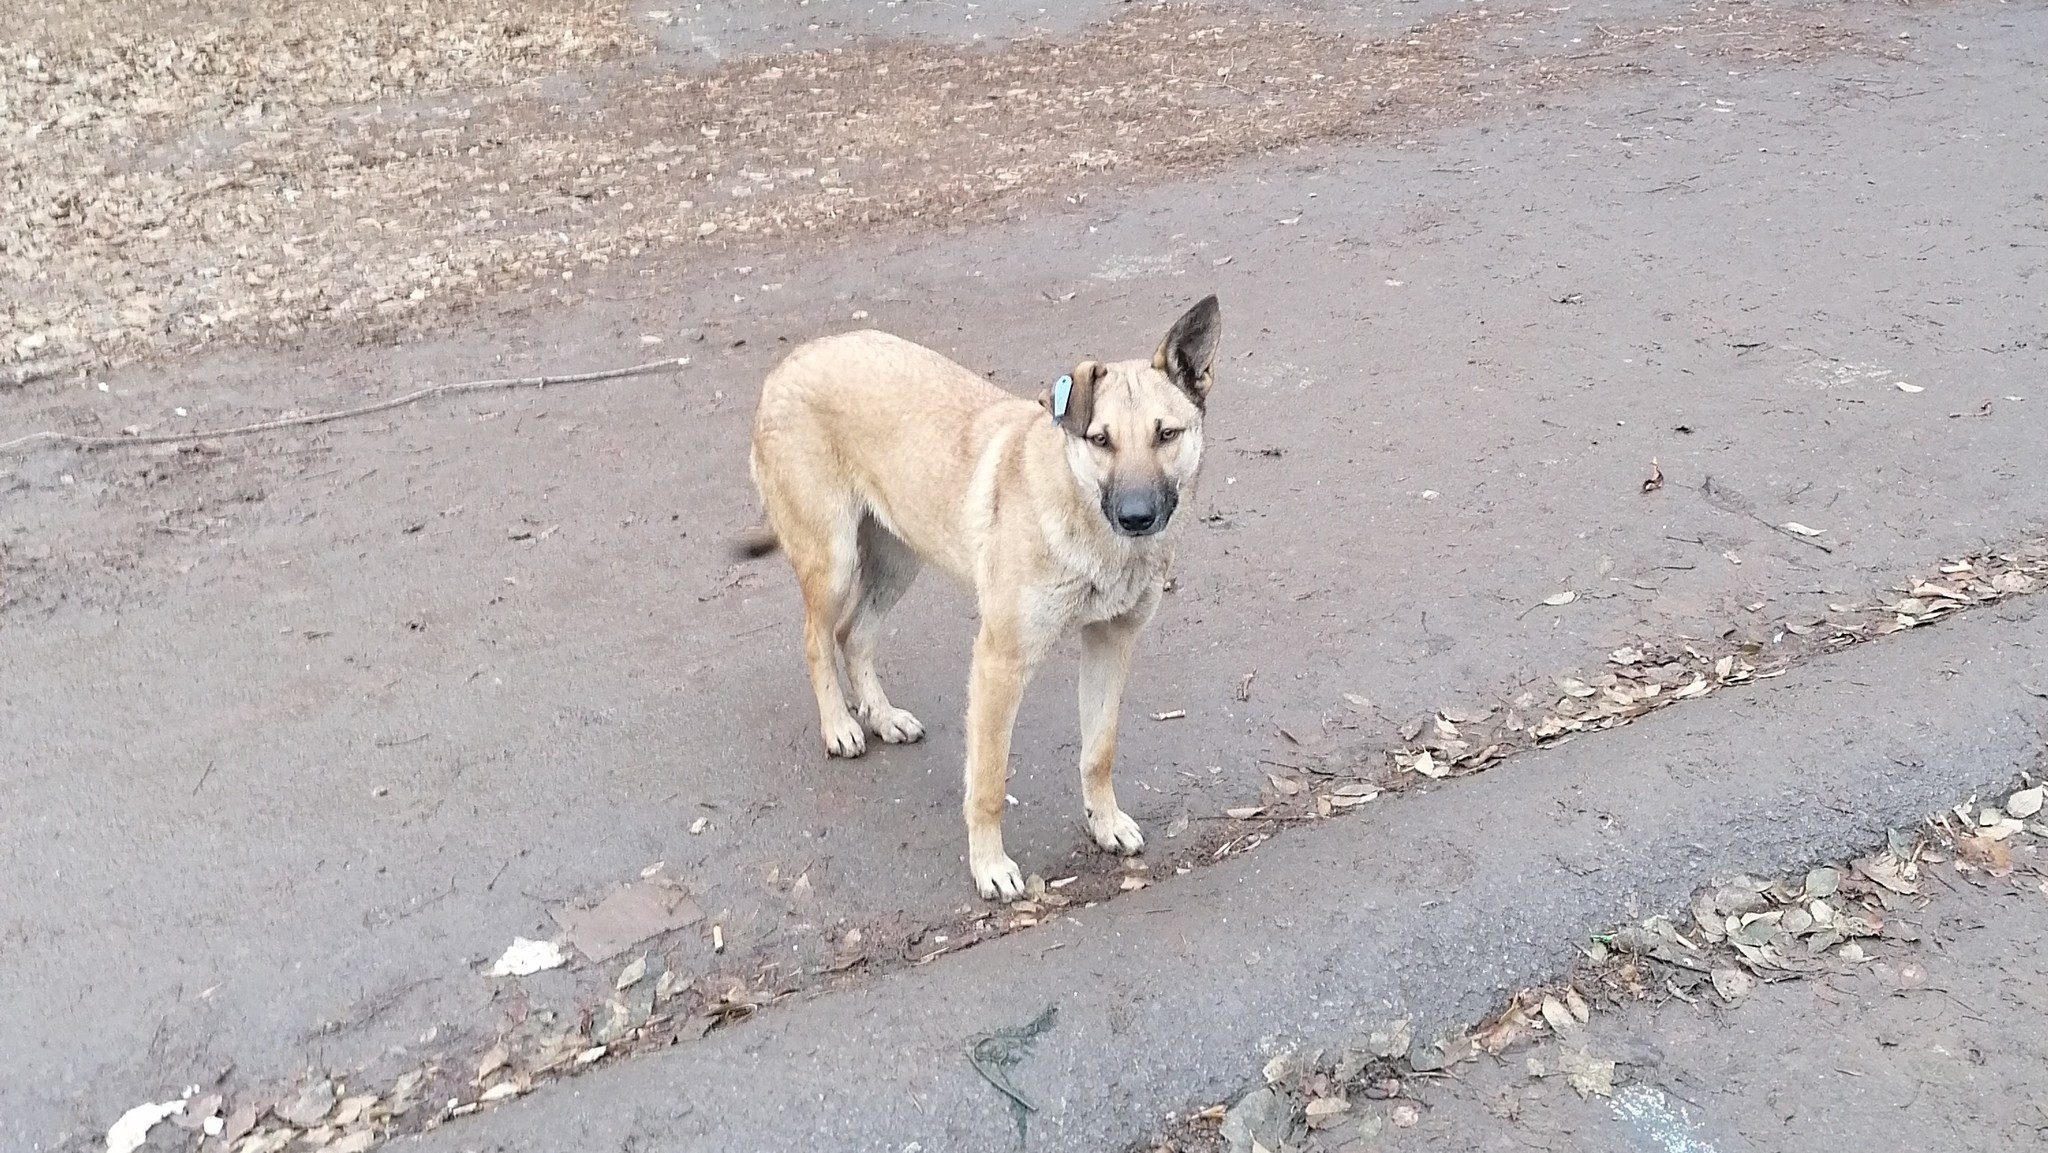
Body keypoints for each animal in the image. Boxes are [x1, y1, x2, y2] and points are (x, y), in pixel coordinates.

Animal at [737, 296, 1212, 901]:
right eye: (1101, 440)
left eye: (1166, 434)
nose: (1136, 517)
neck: (1081, 516)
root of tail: (790, 360)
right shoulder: (998, 664)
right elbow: (987, 783)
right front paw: (989, 865)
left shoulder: (1111, 645)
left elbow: (1098, 752)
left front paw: (1103, 822)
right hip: (836, 562)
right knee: (818, 637)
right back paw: (840, 725)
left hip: (899, 562)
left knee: (854, 634)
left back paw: (882, 716)